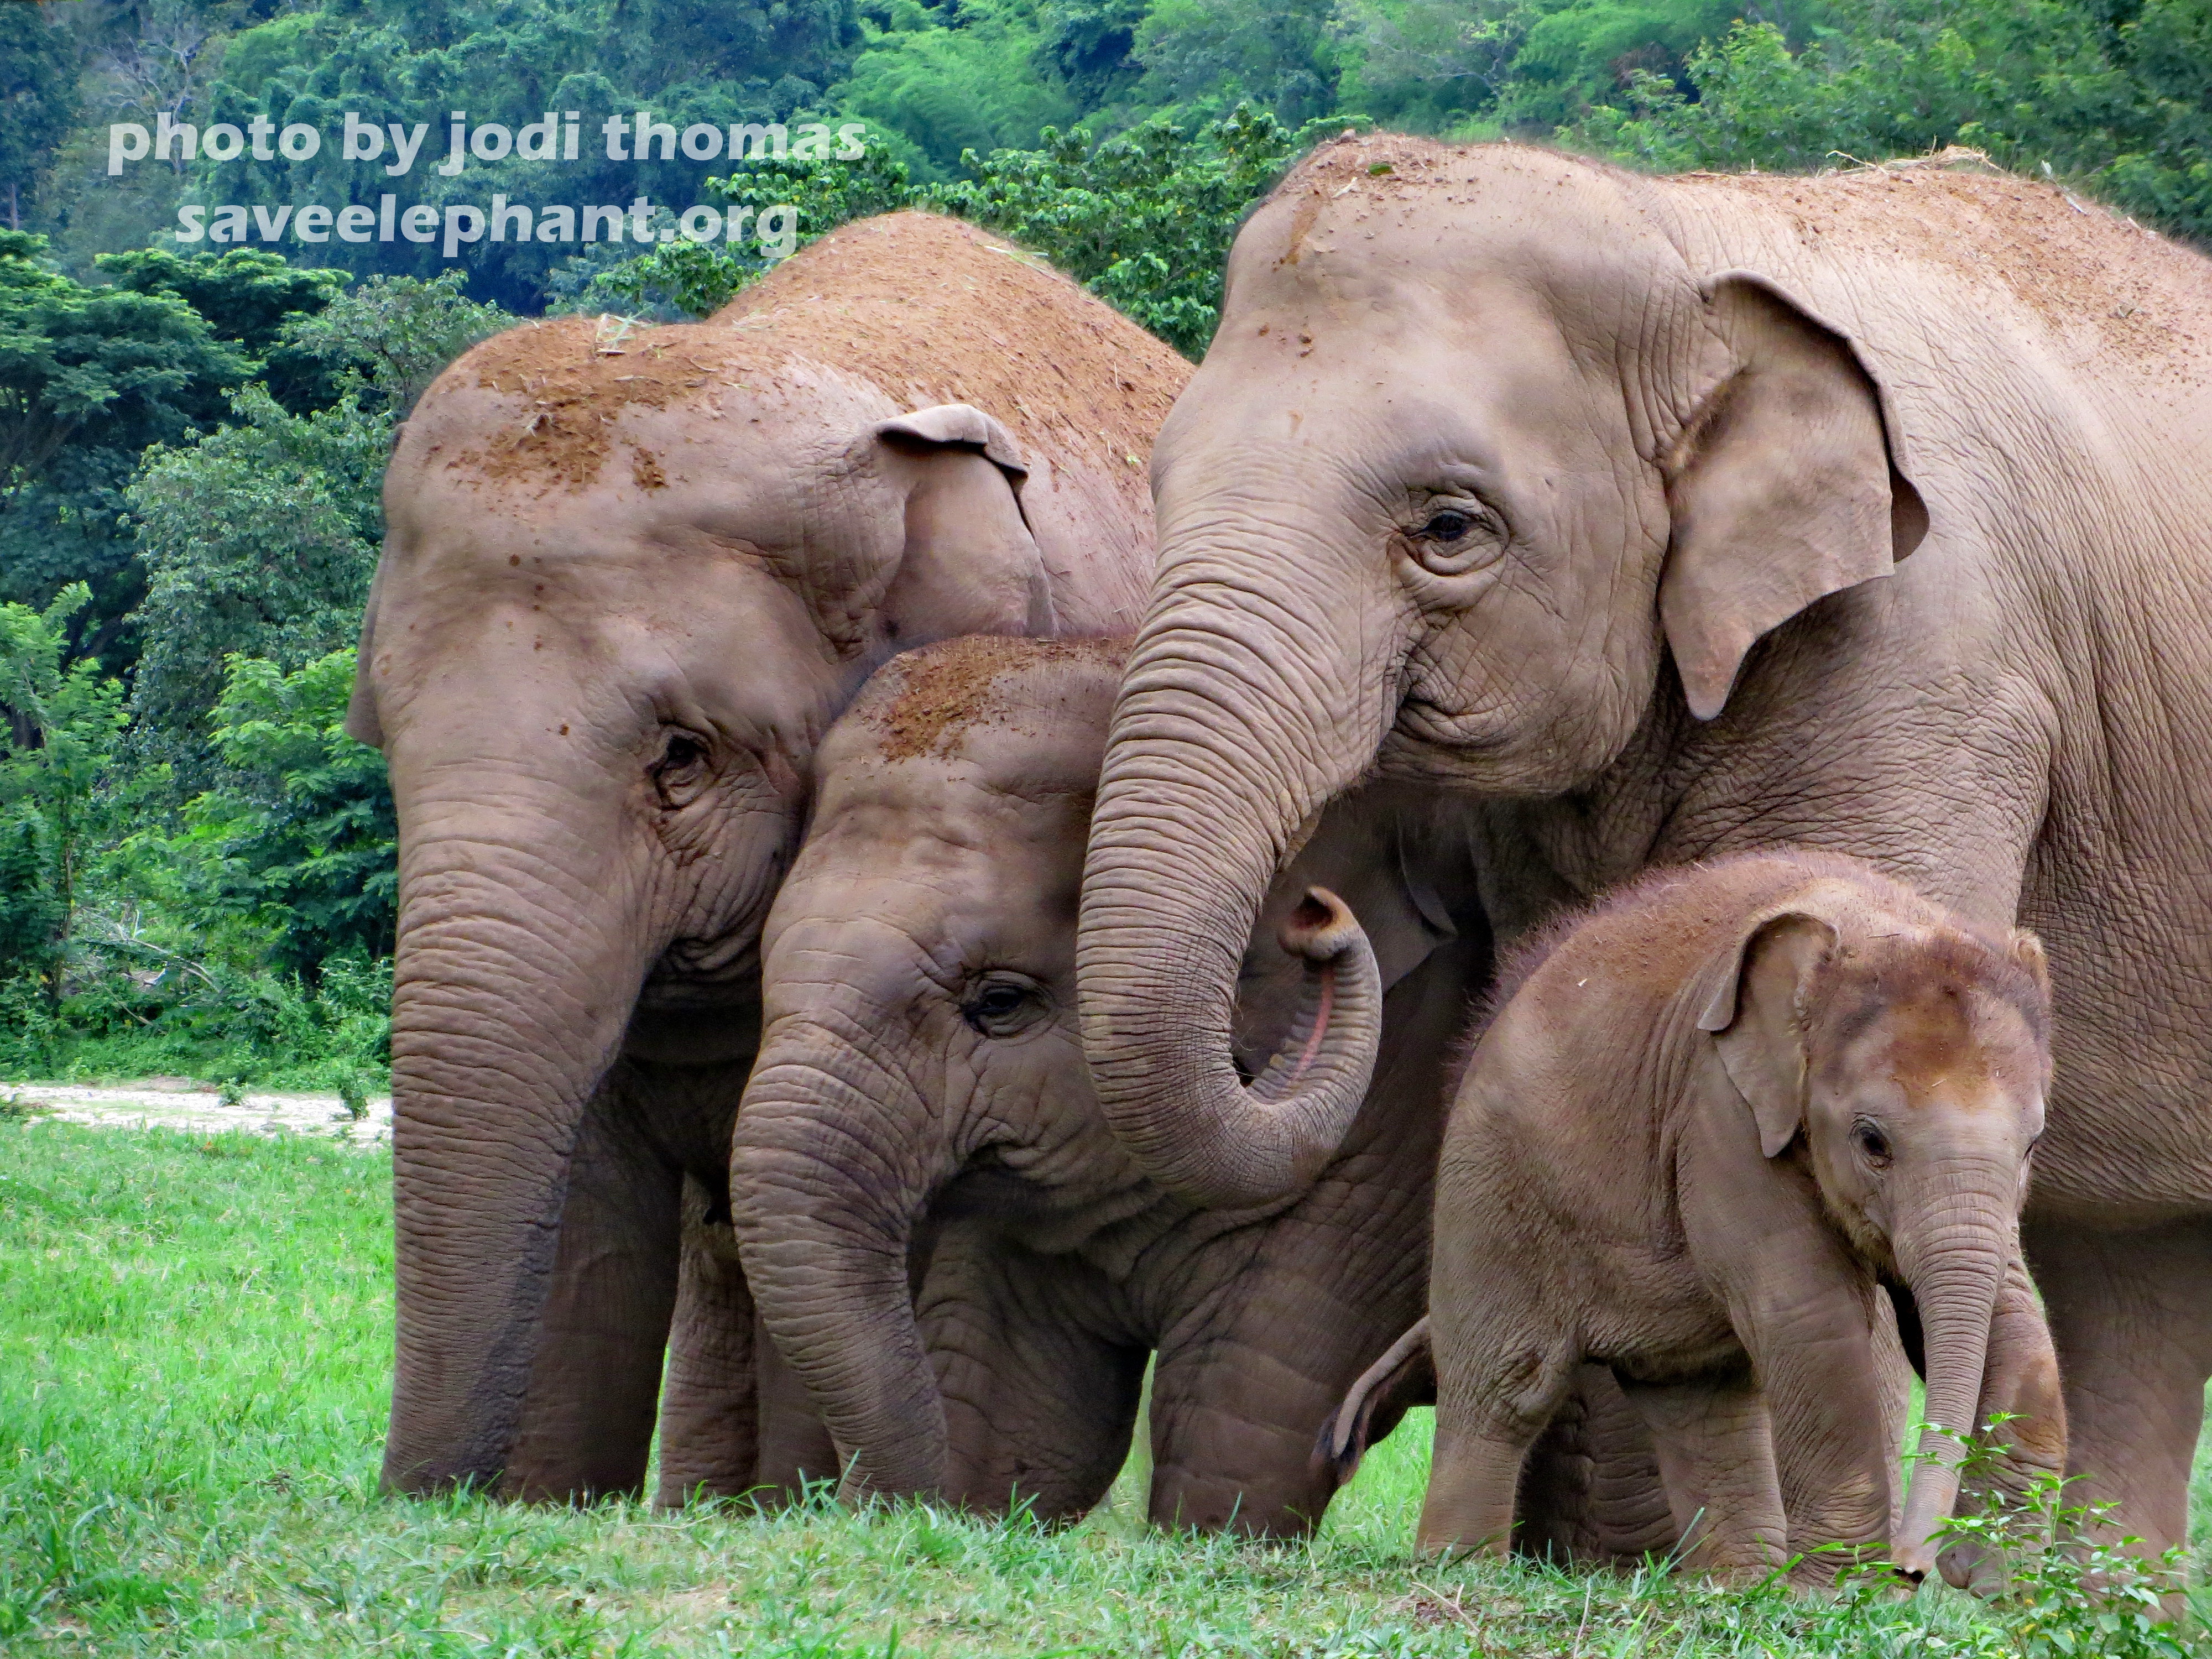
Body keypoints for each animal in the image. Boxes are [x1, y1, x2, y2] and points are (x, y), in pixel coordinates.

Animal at [1079, 137, 2212, 1566]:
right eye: (1158, 485)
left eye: (1448, 528)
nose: (1317, 912)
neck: (1686, 238)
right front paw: (1651, 1561)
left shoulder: (1930, 670)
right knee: (2140, 1268)